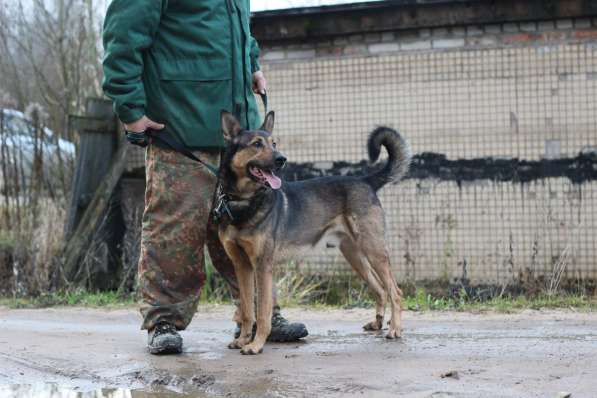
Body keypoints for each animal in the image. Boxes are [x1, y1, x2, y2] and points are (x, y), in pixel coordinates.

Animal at [218, 109, 410, 354]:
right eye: (257, 144)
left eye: (274, 143)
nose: (281, 159)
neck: (243, 202)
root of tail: (365, 180)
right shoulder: (241, 266)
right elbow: (246, 310)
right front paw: (243, 340)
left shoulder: (262, 266)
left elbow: (262, 313)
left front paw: (256, 344)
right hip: (355, 255)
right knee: (381, 289)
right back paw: (378, 323)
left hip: (373, 250)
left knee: (395, 291)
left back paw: (395, 329)